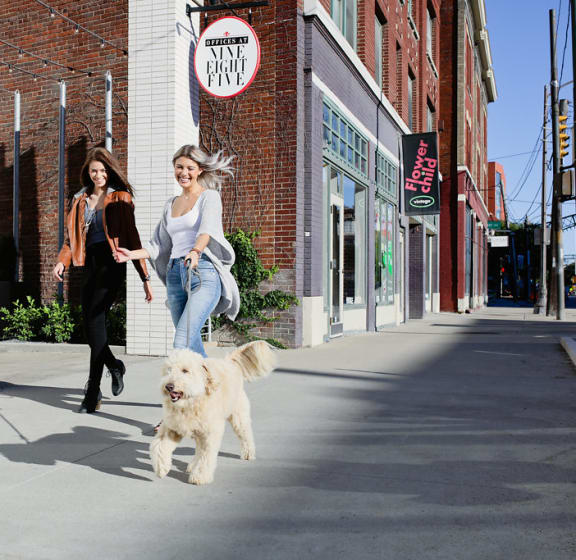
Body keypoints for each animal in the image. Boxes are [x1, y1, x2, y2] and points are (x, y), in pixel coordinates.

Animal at [148, 340, 274, 484]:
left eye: (185, 371)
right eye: (168, 370)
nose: (169, 386)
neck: (190, 403)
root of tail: (229, 362)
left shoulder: (210, 433)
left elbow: (206, 456)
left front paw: (200, 476)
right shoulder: (172, 428)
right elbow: (158, 446)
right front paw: (161, 468)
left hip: (238, 417)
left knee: (245, 434)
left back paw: (248, 453)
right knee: (198, 448)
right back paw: (192, 465)